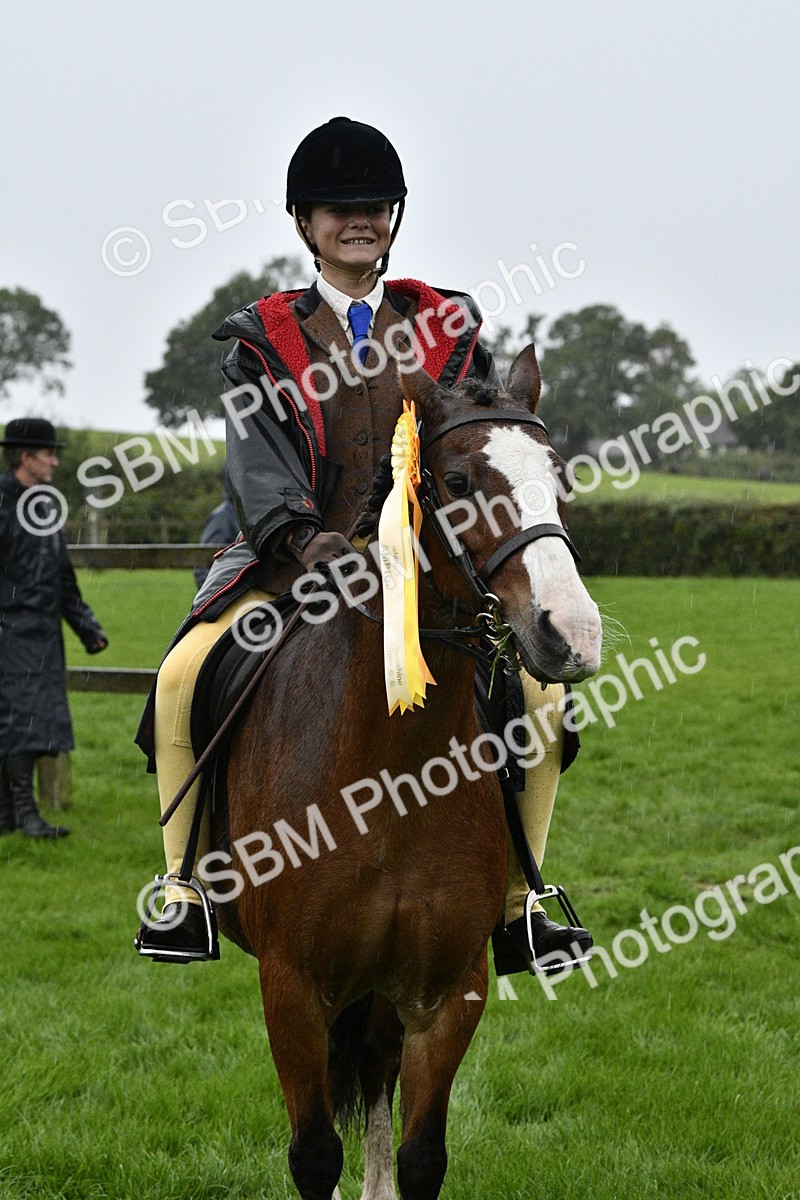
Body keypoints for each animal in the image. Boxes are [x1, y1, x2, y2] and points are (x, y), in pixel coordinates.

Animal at [213, 344, 602, 1200]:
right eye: (456, 481)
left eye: (559, 478)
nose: (573, 633)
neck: (391, 777)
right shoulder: (293, 988)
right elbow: (314, 1155)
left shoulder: (445, 990)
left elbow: (422, 1154)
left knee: (377, 1069)